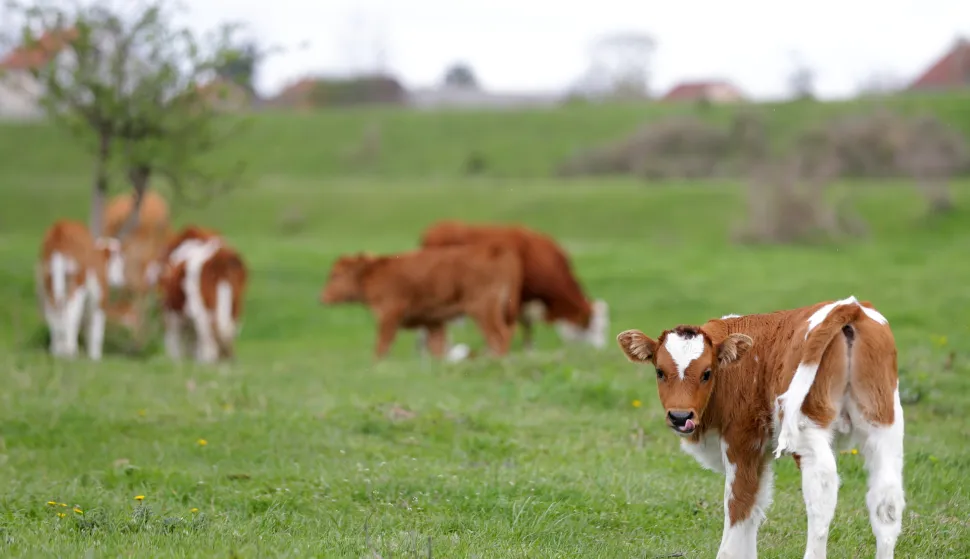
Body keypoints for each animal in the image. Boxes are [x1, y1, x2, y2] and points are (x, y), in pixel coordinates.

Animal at [36, 220, 126, 359]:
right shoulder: (101, 299)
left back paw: (57, 350)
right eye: (121, 262)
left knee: (53, 312)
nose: (122, 280)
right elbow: (96, 330)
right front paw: (95, 357)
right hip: (77, 285)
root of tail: (60, 228)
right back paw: (69, 351)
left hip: (48, 285)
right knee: (71, 312)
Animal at [318, 244, 522, 360]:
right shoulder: (433, 323)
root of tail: (496, 251)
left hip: (482, 309)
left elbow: (382, 345)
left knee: (499, 335)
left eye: (335, 275)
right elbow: (437, 349)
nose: (321, 297)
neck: (373, 272)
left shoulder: (389, 315)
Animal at [419, 219, 609, 351]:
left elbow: (526, 326)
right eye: (591, 326)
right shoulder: (514, 299)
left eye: (604, 327)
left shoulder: (526, 302)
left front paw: (528, 350)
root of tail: (437, 228)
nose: (601, 349)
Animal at [615, 296, 904, 559]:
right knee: (886, 503)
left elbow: (739, 506)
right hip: (883, 424)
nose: (679, 416)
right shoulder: (761, 454)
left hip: (807, 429)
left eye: (707, 373)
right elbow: (754, 509)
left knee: (822, 494)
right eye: (659, 372)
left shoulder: (742, 442)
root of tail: (850, 306)